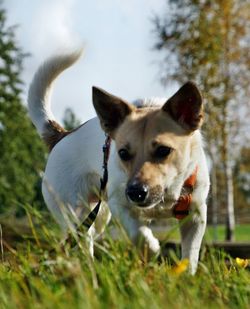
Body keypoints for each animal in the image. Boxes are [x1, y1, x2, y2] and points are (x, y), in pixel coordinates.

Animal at [28, 51, 210, 274]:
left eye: (163, 150)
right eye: (122, 153)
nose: (135, 192)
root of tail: (62, 136)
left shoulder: (196, 215)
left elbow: (190, 255)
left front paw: (187, 276)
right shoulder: (120, 205)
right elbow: (139, 235)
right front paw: (151, 249)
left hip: (98, 217)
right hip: (76, 212)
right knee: (82, 242)